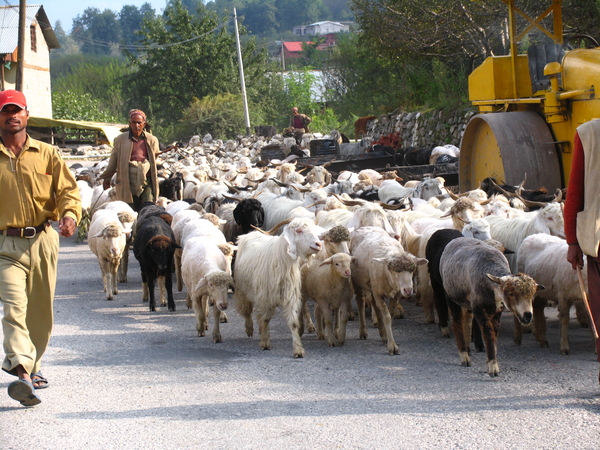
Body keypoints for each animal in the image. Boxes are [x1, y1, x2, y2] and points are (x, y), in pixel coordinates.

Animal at [232, 218, 324, 358]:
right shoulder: (265, 296)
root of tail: (249, 234)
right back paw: (249, 329)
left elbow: (293, 323)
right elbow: (265, 319)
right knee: (247, 311)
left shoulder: (290, 296)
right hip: (242, 289)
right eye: (299, 230)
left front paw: (298, 350)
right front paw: (265, 343)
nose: (318, 244)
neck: (281, 260)